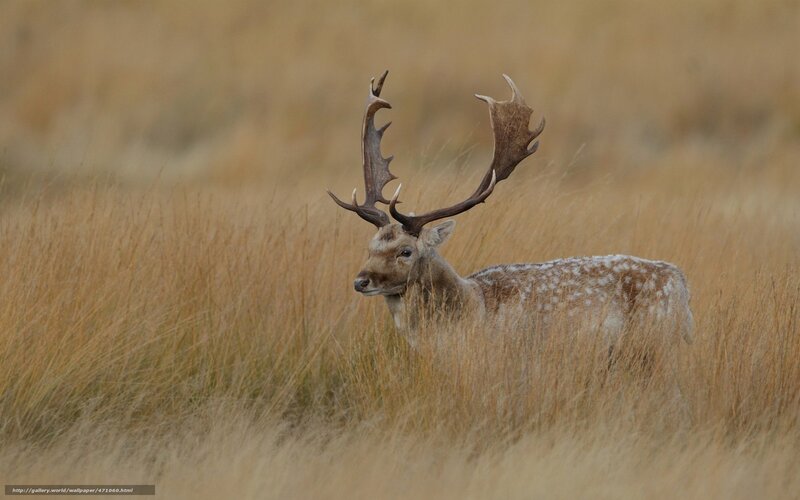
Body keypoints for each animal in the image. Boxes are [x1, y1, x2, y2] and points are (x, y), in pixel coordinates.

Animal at [328, 71, 694, 353]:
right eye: (371, 246)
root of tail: (681, 282)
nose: (361, 280)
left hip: (654, 342)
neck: (471, 310)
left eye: (406, 251)